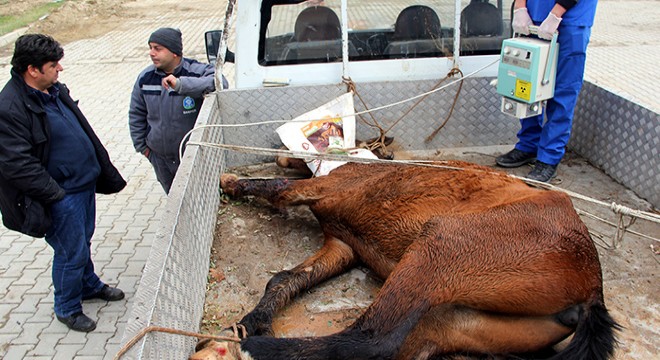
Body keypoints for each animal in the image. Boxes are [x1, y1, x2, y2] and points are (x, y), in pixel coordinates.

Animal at [189, 161, 620, 360]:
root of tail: (592, 290)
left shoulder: (326, 186)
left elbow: (277, 188)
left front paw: (232, 182)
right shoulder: (342, 246)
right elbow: (283, 279)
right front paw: (252, 321)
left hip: (439, 246)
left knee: (368, 340)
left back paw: (234, 348)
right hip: (448, 321)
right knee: (392, 346)